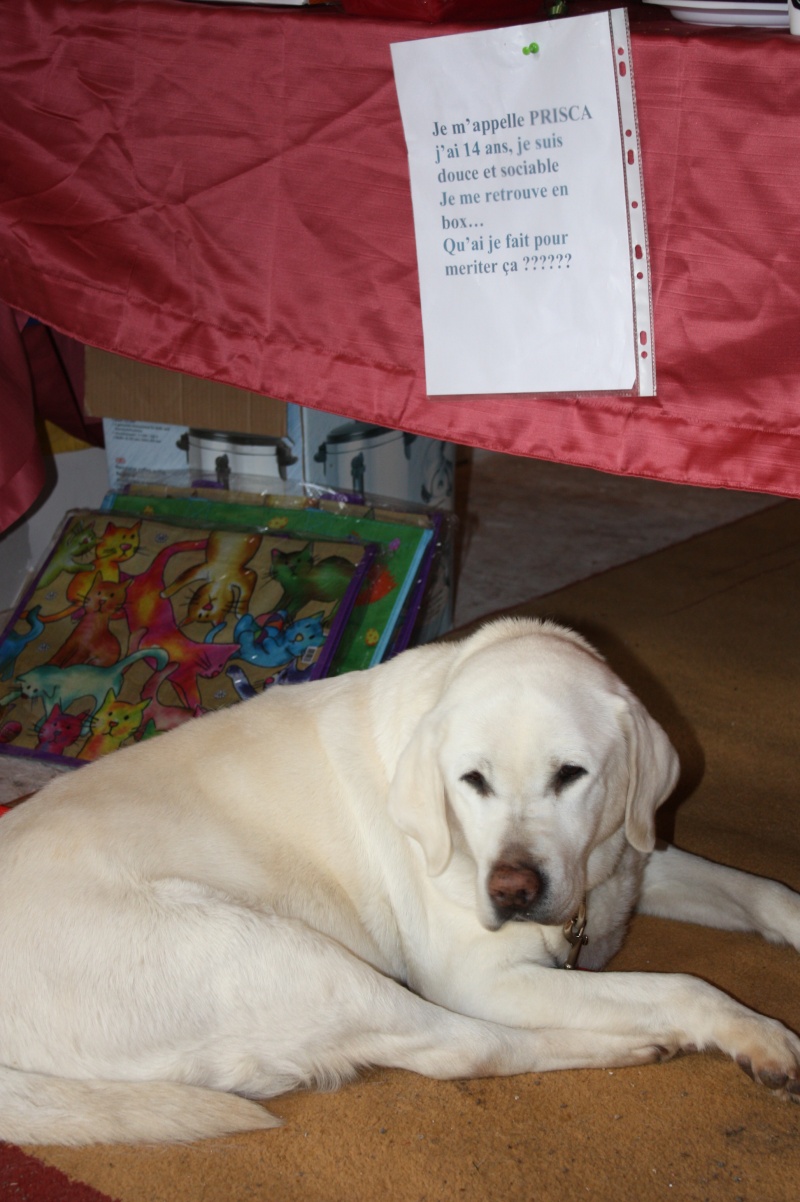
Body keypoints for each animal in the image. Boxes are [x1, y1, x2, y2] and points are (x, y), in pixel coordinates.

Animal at [1, 620, 797, 1144]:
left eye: (571, 774)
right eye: (472, 780)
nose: (511, 890)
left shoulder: (629, 859)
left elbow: (766, 891)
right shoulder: (483, 974)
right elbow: (684, 985)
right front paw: (756, 1033)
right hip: (285, 957)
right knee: (468, 1049)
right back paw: (630, 1046)